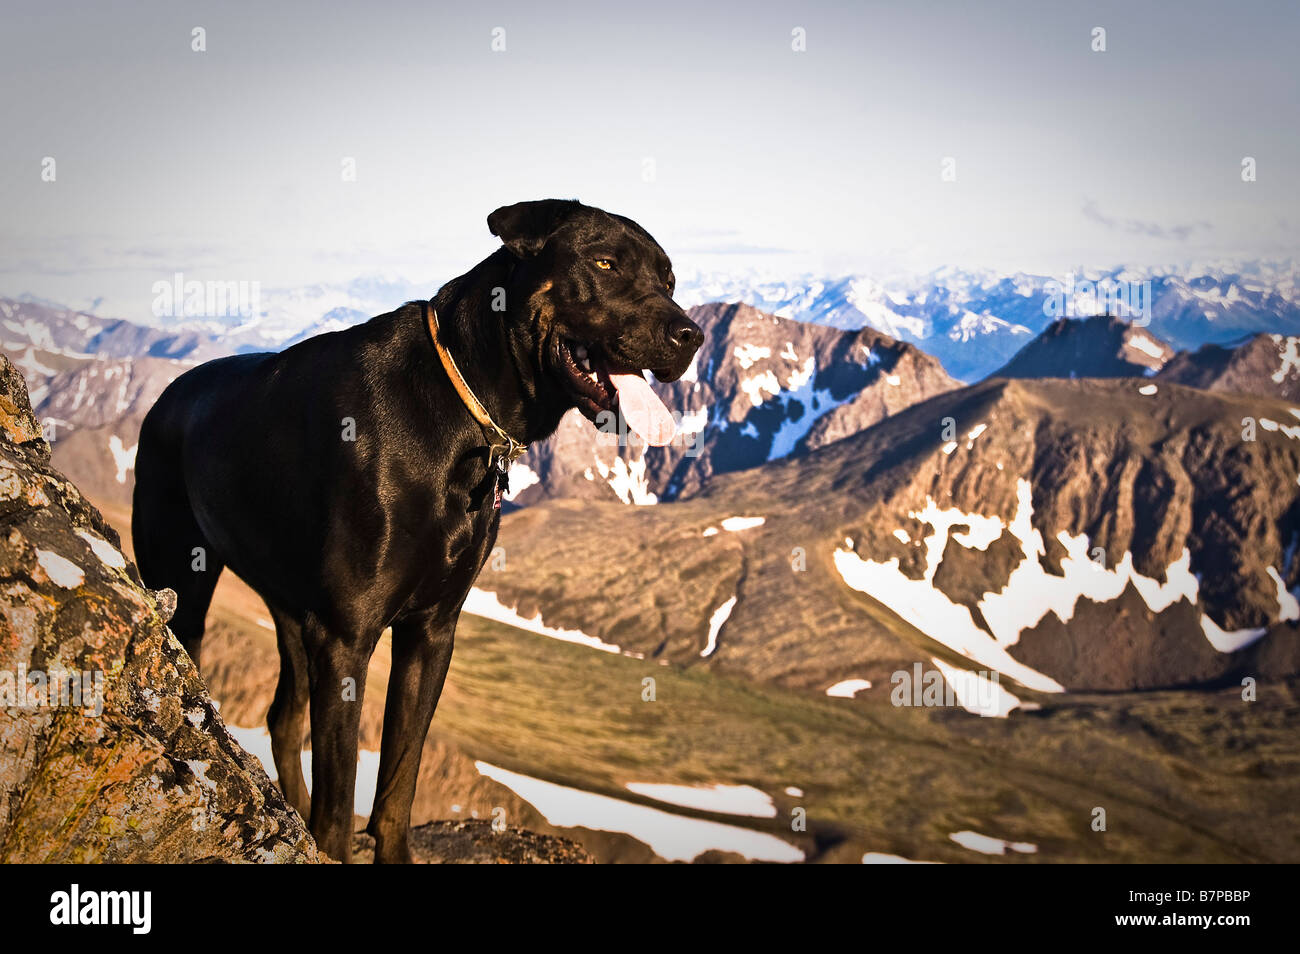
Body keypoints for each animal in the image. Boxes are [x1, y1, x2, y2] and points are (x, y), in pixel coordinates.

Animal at [131, 197, 702, 863]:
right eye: (606, 263)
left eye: (669, 281)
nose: (690, 335)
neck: (465, 407)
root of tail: (166, 396)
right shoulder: (346, 636)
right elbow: (341, 797)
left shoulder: (431, 631)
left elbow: (400, 778)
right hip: (184, 581)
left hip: (292, 612)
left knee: (283, 716)